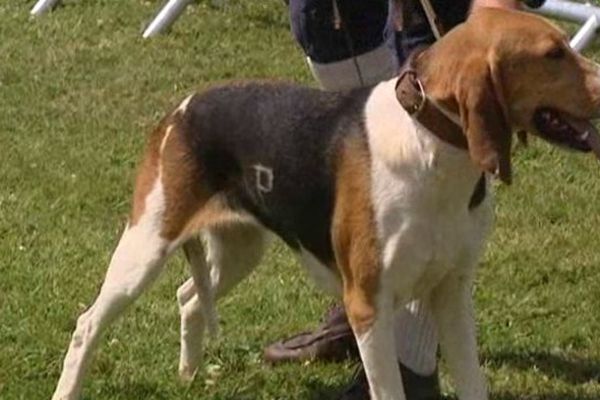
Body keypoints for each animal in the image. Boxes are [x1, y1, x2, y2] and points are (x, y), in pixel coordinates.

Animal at [52, 8, 600, 400]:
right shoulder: (369, 307)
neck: (431, 143)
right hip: (146, 247)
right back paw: (70, 387)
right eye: (553, 54)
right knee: (86, 325)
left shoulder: (452, 294)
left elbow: (472, 384)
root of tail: (179, 109)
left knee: (188, 295)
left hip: (240, 249)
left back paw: (188, 375)